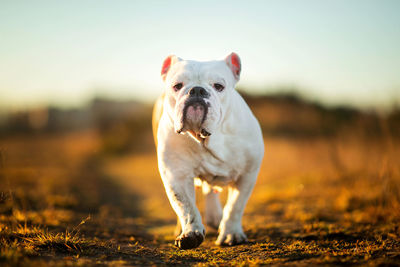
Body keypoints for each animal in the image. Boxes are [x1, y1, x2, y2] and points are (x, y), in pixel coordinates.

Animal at [152, 53, 264, 250]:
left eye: (219, 86)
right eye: (177, 86)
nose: (197, 90)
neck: (206, 139)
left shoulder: (247, 175)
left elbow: (235, 206)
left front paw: (231, 234)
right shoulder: (176, 174)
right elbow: (185, 205)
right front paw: (191, 233)